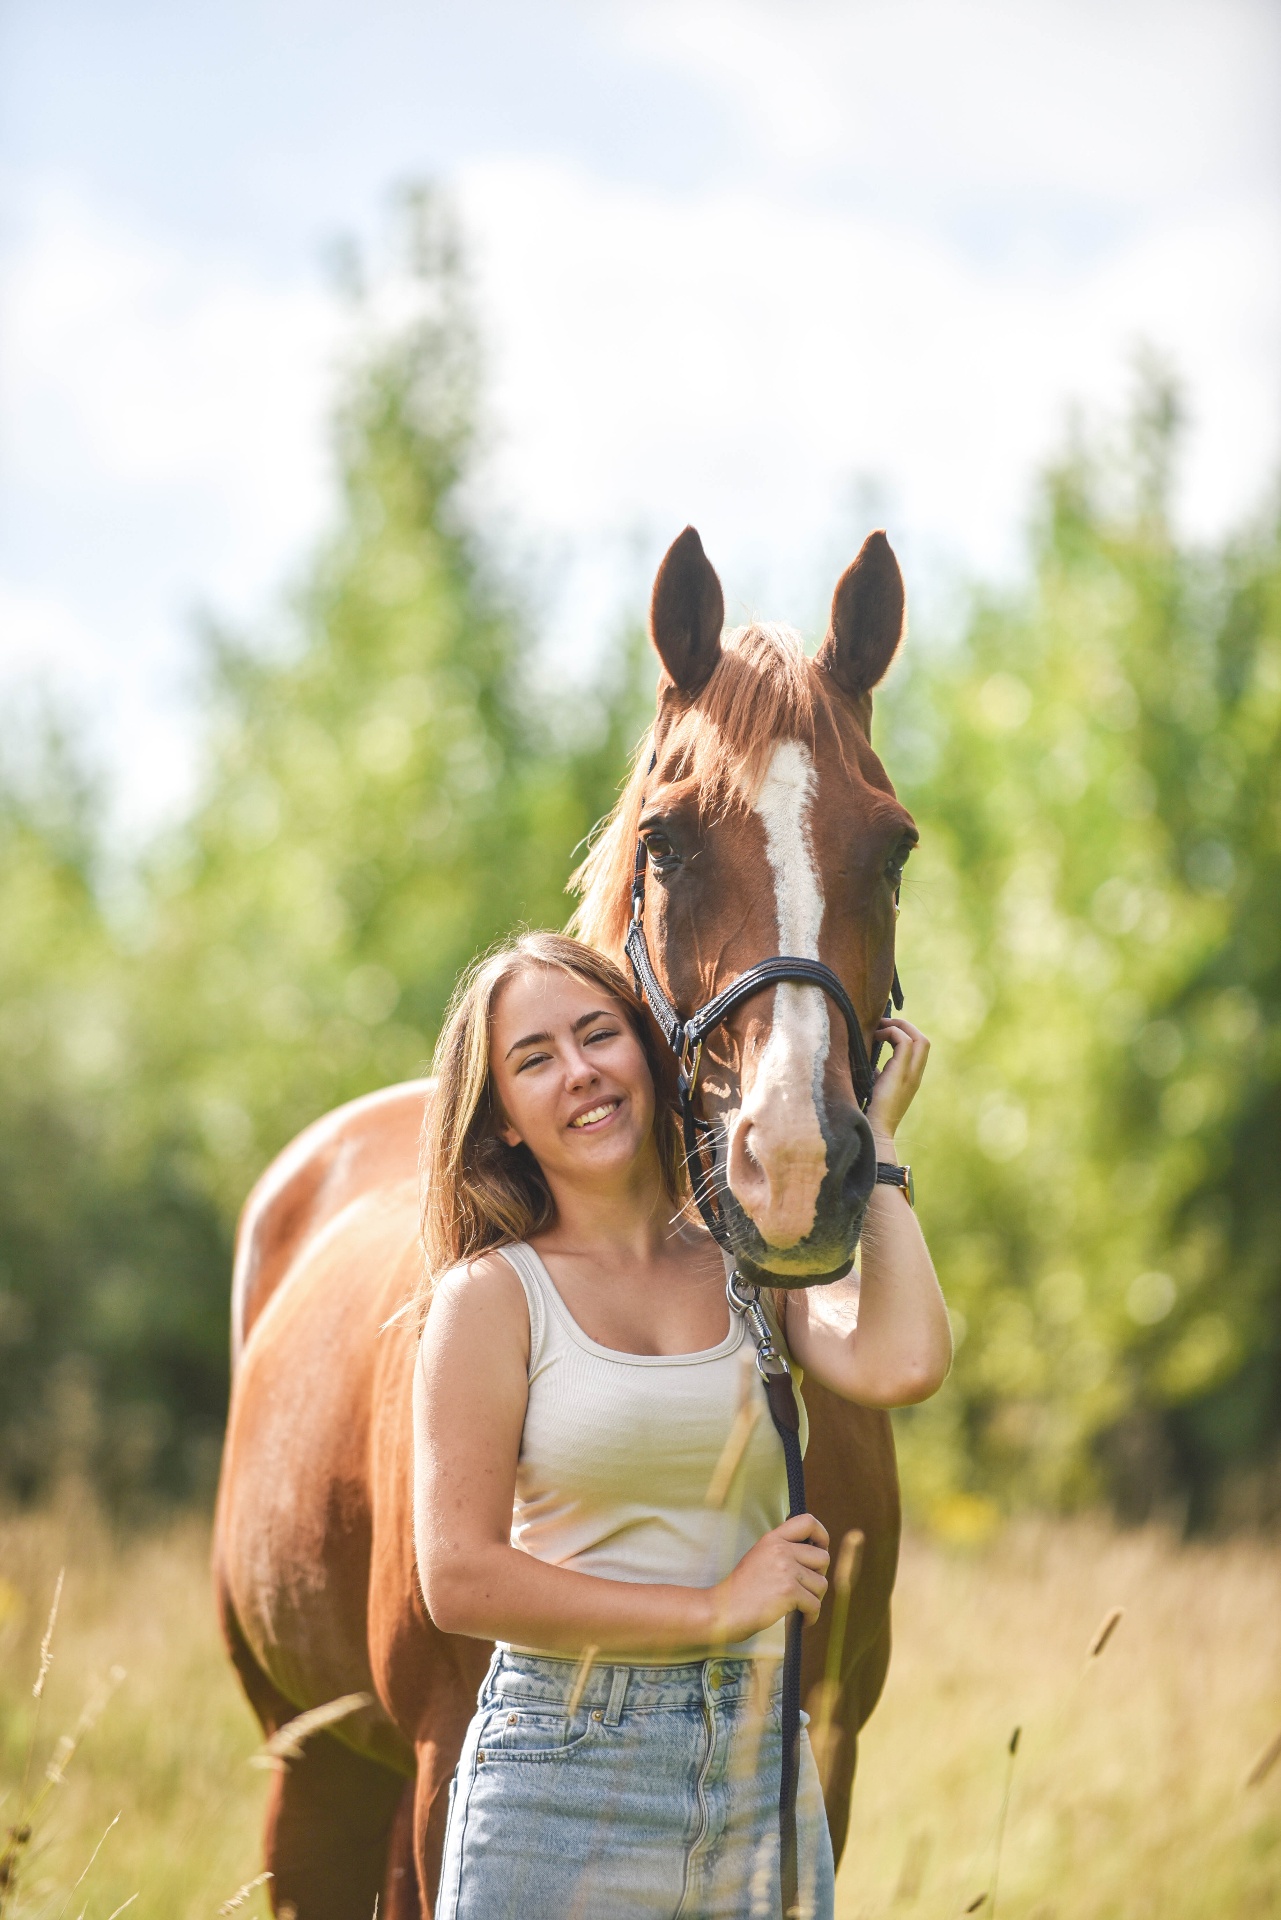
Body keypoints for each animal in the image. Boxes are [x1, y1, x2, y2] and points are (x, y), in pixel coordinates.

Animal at [213, 524, 916, 1918]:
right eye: (667, 841)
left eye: (896, 847)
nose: (793, 1167)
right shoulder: (443, 1761)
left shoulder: (832, 1754)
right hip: (312, 1767)